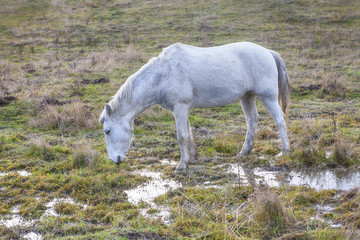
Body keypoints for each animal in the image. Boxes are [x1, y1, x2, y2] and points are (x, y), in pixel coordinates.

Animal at [100, 42, 292, 172]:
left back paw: (285, 151)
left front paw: (181, 165)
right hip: (247, 97)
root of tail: (267, 52)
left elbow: (182, 136)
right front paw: (192, 157)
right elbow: (188, 133)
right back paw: (244, 152)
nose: (115, 160)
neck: (163, 74)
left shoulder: (180, 107)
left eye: (107, 131)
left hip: (268, 96)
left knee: (280, 120)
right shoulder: (182, 109)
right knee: (252, 121)